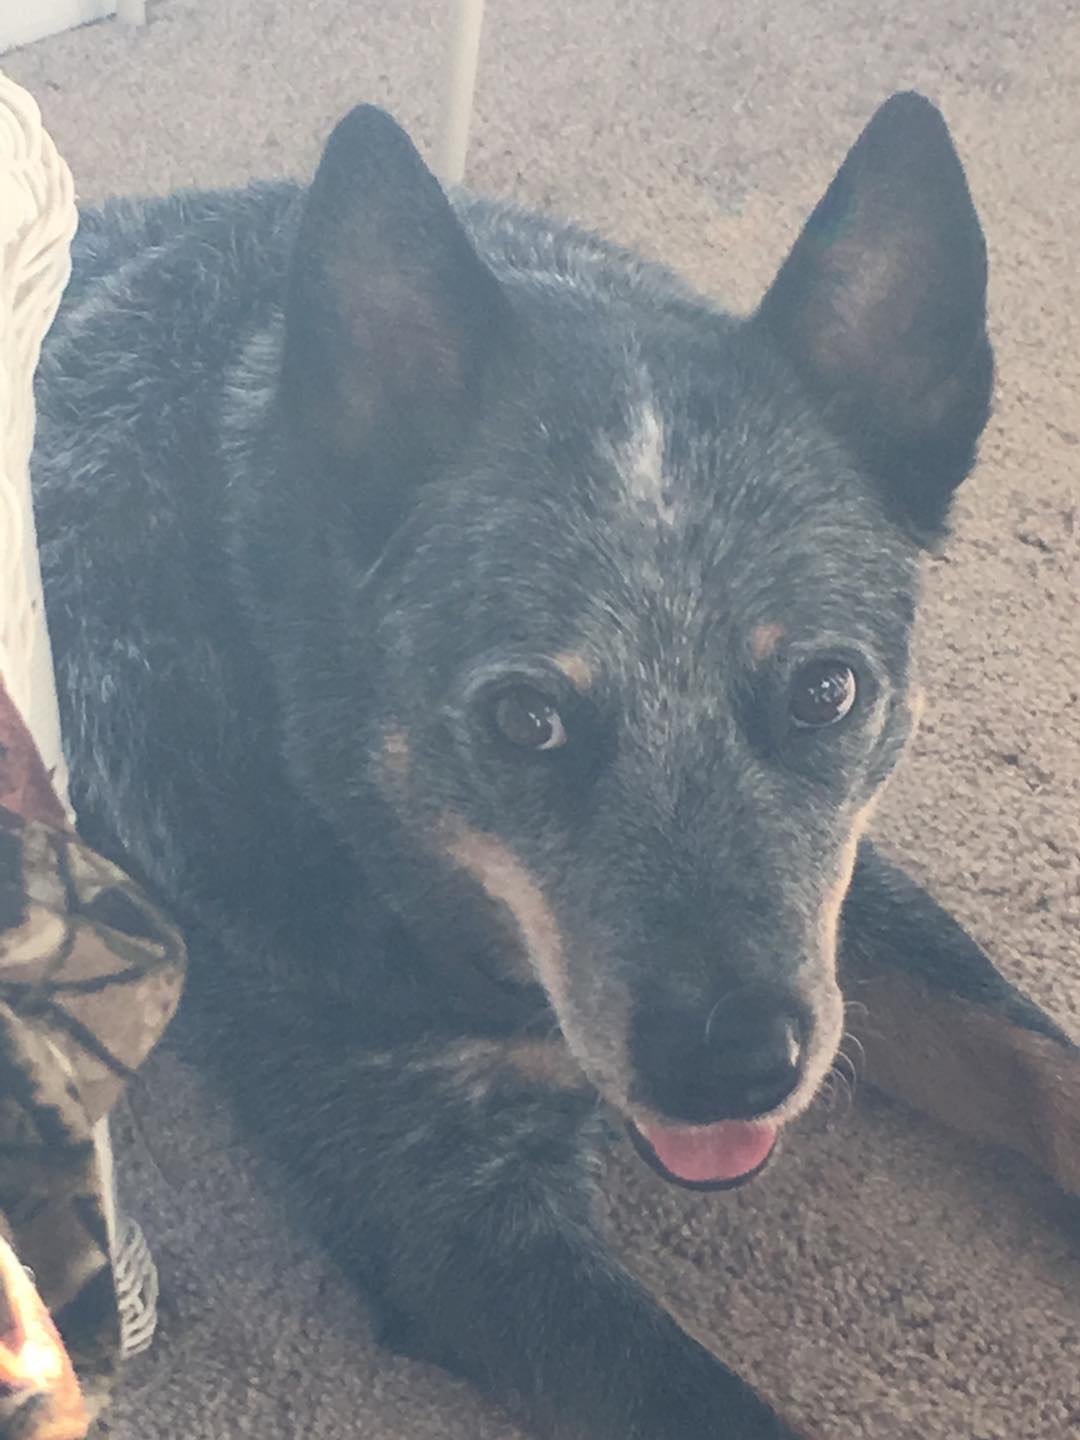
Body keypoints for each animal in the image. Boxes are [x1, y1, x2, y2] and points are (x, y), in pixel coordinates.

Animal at [31, 92, 1080, 1437]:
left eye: (826, 690)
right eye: (526, 718)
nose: (731, 1063)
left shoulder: (840, 911)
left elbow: (1029, 1058)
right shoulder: (454, 1212)